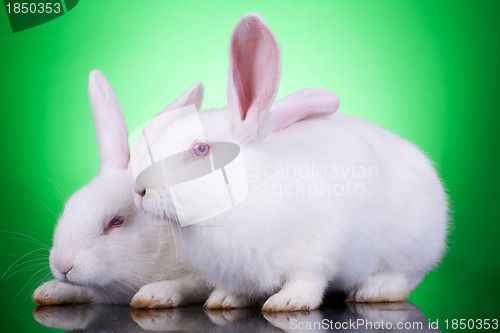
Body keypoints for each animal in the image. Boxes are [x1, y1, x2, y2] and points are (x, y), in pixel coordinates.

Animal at [32, 69, 209, 306]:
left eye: (116, 221)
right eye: (68, 207)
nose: (62, 266)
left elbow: (190, 283)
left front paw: (152, 295)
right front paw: (49, 291)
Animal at [133, 14, 450, 312]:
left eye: (201, 149)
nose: (139, 191)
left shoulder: (316, 253)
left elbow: (306, 281)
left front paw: (287, 302)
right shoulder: (238, 275)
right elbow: (236, 291)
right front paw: (224, 300)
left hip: (409, 250)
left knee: (403, 278)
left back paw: (373, 291)